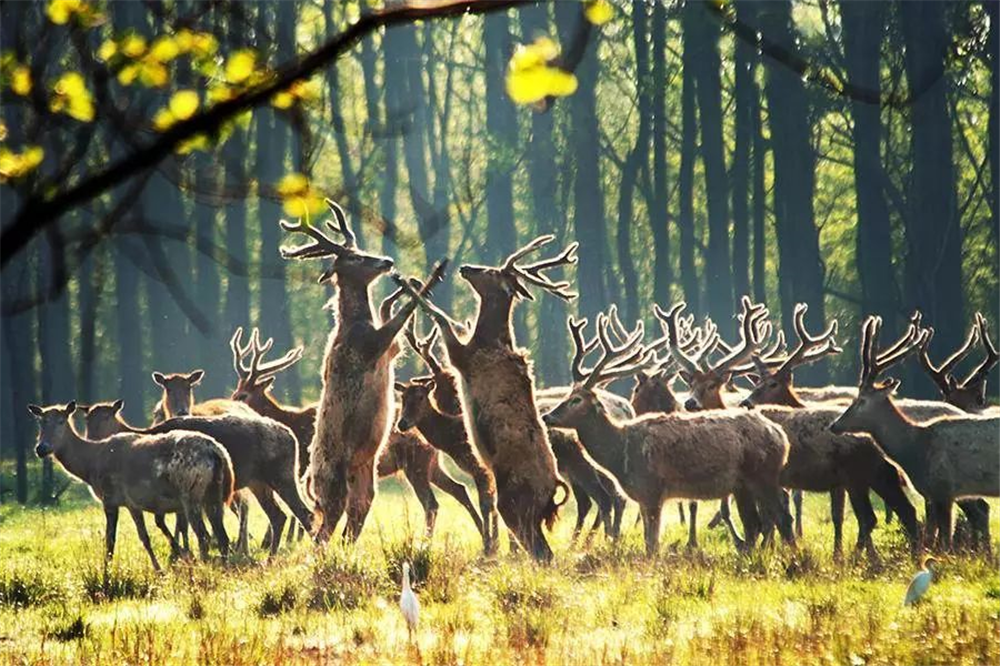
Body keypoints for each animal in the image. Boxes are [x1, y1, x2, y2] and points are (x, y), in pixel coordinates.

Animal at [29, 400, 234, 564]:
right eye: (40, 422)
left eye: (61, 421)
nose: (41, 448)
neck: (91, 465)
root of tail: (217, 454)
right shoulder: (133, 502)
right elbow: (144, 538)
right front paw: (159, 570)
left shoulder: (111, 498)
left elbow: (111, 542)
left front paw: (107, 577)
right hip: (214, 493)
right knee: (222, 537)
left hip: (190, 491)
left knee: (204, 536)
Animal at [276, 200, 444, 544]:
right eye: (354, 257)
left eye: (362, 249)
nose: (387, 261)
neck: (355, 324)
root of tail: (308, 479)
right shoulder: (371, 345)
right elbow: (397, 319)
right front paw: (431, 277)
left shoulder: (390, 351)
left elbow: (389, 313)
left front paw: (410, 284)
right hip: (332, 485)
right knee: (323, 531)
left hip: (366, 479)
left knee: (352, 521)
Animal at [390, 235, 580, 560]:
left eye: (491, 272)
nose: (466, 267)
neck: (487, 338)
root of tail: (554, 487)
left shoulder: (461, 356)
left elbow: (440, 316)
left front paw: (405, 279)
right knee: (542, 549)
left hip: (515, 502)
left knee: (541, 551)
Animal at [544, 314, 792, 552]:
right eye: (566, 394)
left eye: (576, 400)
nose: (547, 416)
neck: (620, 453)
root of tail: (780, 436)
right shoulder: (642, 496)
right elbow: (648, 540)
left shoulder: (652, 489)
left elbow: (652, 544)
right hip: (743, 485)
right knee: (754, 524)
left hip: (764, 475)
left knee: (780, 516)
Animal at [828, 314, 1000, 548]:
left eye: (861, 400)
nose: (834, 425)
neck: (915, 449)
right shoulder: (937, 493)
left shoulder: (943, 488)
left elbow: (944, 541)